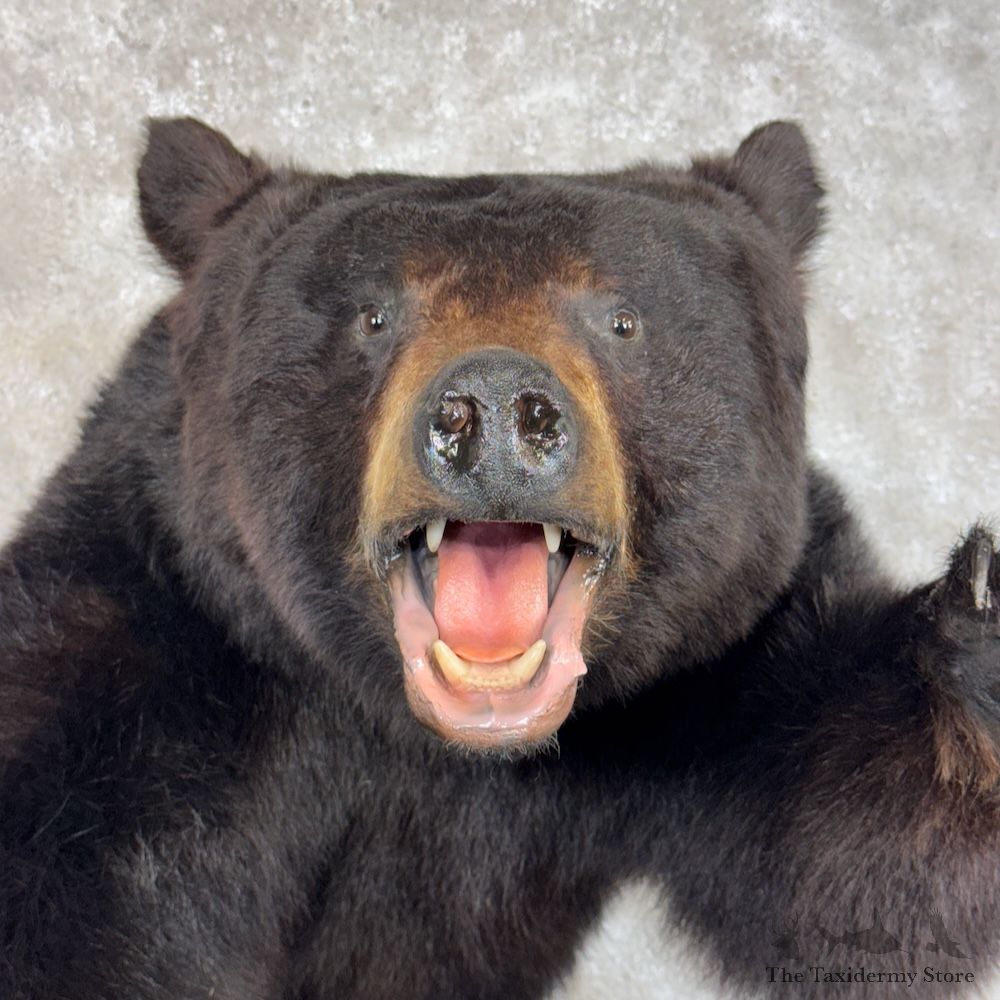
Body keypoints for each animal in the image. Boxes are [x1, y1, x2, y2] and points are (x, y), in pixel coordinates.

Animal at [1, 116, 998, 1000]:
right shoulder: (162, 655)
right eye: (374, 315)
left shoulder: (701, 676)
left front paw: (978, 626)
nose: (490, 407)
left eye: (621, 318)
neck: (446, 747)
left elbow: (844, 850)